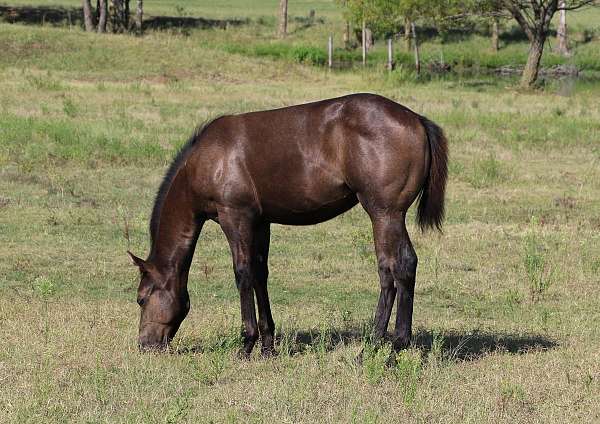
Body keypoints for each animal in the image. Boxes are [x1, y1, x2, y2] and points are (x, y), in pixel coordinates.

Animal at [127, 93, 446, 358]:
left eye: (141, 299)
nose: (145, 345)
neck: (208, 158)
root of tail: (416, 119)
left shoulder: (235, 217)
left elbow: (243, 274)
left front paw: (247, 344)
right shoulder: (260, 222)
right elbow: (260, 275)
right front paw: (268, 345)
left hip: (385, 214)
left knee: (396, 267)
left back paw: (383, 347)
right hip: (388, 216)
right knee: (398, 268)